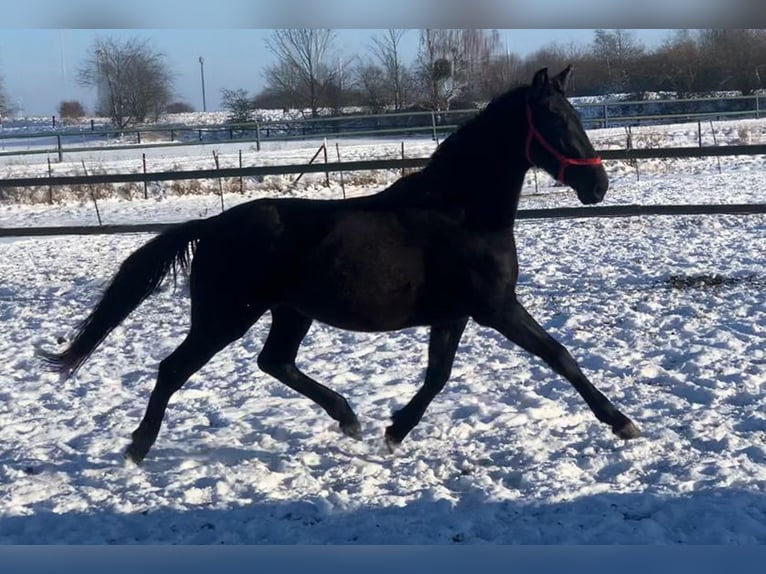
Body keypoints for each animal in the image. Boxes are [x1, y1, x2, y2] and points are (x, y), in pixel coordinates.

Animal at [40, 66, 641, 465]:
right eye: (555, 118)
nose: (597, 185)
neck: (461, 212)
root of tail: (210, 227)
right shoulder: (496, 308)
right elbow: (560, 356)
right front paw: (623, 423)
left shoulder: (455, 315)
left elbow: (438, 376)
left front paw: (394, 430)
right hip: (226, 317)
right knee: (174, 368)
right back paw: (138, 448)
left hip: (290, 312)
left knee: (275, 362)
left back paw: (348, 419)